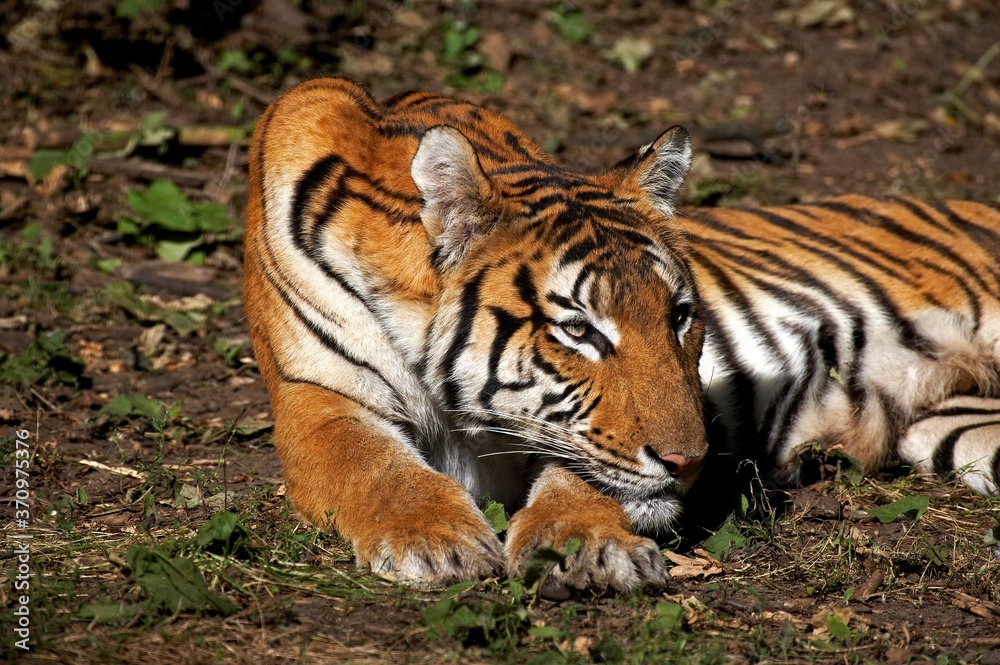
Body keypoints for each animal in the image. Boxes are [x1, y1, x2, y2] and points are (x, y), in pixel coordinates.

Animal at [244, 76, 1000, 594]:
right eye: (578, 329)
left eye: (680, 316)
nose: (692, 462)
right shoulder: (317, 399)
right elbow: (374, 465)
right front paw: (438, 542)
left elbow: (577, 479)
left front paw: (587, 546)